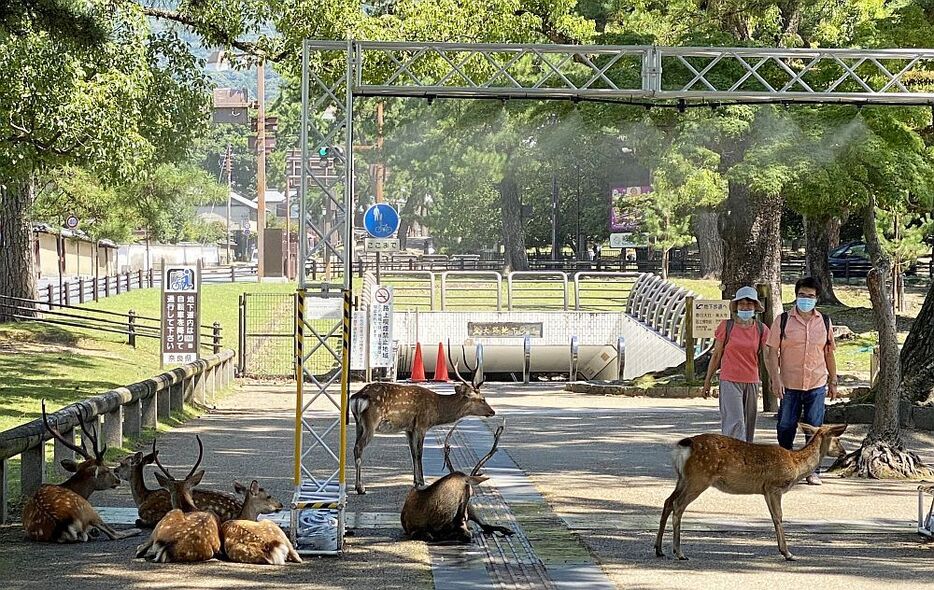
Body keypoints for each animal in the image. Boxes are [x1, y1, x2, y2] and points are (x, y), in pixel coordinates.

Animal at [23, 402, 143, 544]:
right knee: (113, 533)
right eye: (106, 470)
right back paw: (136, 530)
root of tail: (62, 526)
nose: (117, 480)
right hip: (87, 509)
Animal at [352, 344, 498, 498]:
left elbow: (412, 453)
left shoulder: (409, 428)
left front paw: (416, 480)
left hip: (359, 424)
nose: (492, 411)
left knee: (355, 447)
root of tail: (358, 397)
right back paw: (360, 487)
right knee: (358, 447)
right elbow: (419, 452)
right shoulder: (421, 424)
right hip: (371, 422)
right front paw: (421, 482)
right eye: (482, 399)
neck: (436, 409)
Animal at [656, 424, 852, 560]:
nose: (844, 453)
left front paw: (783, 550)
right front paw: (788, 553)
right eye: (838, 439)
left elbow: (773, 517)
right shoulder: (774, 486)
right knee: (678, 505)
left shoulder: (765, 490)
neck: (796, 464)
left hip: (683, 478)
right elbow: (779, 516)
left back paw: (659, 550)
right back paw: (679, 552)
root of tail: (685, 446)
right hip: (699, 477)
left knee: (667, 502)